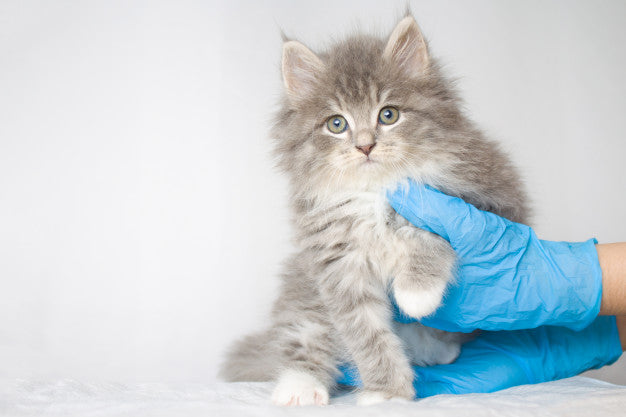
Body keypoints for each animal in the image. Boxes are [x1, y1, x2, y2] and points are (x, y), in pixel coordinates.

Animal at [219, 14, 528, 404]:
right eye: (337, 124)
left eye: (389, 115)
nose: (365, 146)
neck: (374, 191)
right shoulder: (335, 264)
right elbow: (366, 335)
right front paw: (388, 392)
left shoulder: (484, 204)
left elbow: (425, 232)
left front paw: (417, 292)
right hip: (302, 289)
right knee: (302, 335)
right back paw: (298, 386)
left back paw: (436, 348)